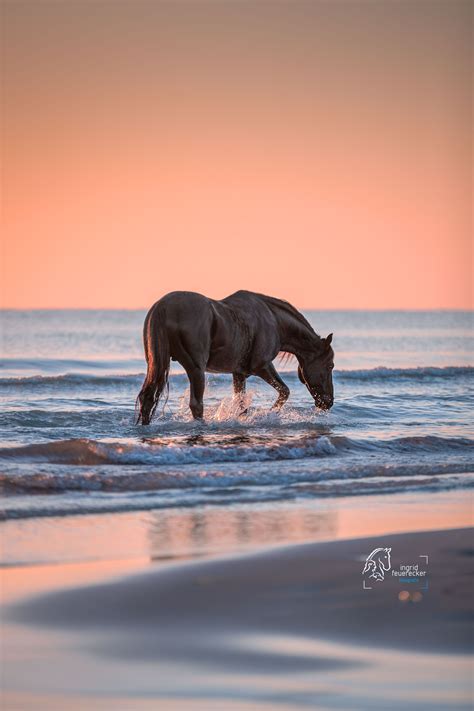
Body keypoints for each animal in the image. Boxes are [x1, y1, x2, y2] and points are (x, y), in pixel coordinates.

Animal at [135, 290, 336, 422]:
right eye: (330, 365)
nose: (328, 402)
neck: (275, 321)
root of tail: (162, 307)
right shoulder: (262, 366)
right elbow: (284, 391)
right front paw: (271, 412)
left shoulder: (238, 373)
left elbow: (241, 405)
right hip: (196, 370)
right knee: (196, 405)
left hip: (157, 365)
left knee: (148, 400)